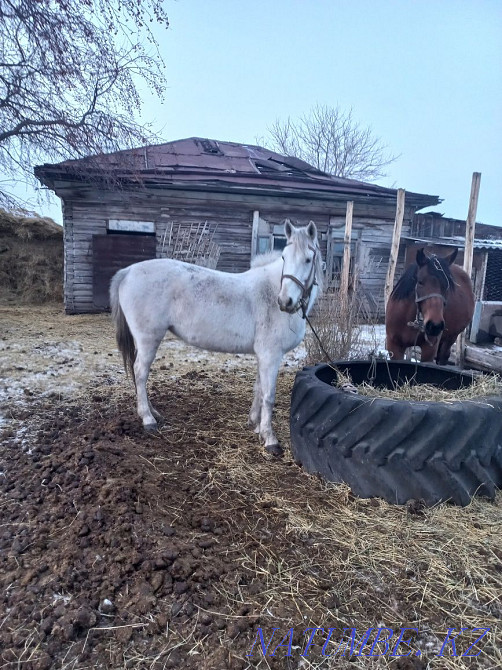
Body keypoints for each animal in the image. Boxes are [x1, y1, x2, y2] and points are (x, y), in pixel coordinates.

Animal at [110, 220, 323, 455]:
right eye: (284, 257)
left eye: (308, 259)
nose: (285, 302)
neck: (269, 291)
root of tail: (128, 271)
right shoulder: (271, 355)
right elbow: (268, 396)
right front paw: (270, 439)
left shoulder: (264, 356)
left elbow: (259, 389)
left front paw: (255, 425)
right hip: (148, 340)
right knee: (140, 373)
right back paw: (148, 419)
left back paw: (153, 412)